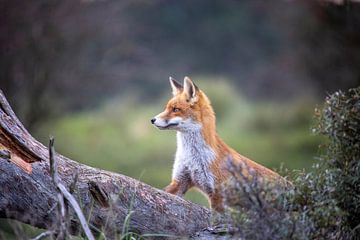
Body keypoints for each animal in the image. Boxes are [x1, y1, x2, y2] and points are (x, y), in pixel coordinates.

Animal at [150, 76, 286, 211]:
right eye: (166, 108)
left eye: (175, 109)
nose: (152, 120)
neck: (193, 156)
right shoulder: (180, 181)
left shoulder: (217, 194)